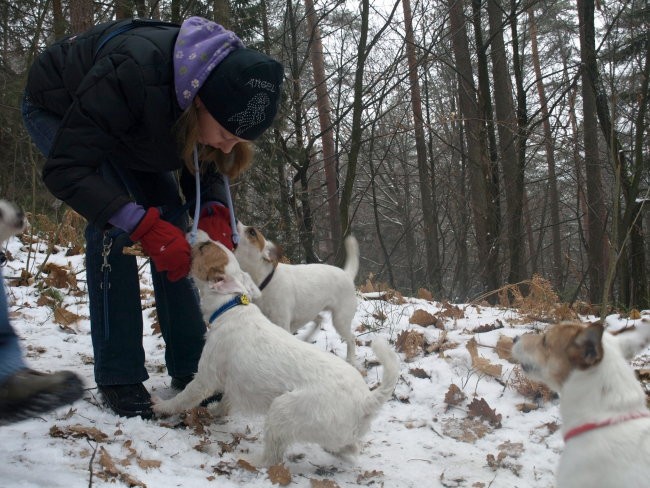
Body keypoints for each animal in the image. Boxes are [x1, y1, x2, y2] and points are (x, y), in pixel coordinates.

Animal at [233, 223, 356, 364]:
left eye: (252, 232)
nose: (235, 221)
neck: (266, 280)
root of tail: (347, 274)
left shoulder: (282, 323)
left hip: (340, 320)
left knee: (351, 339)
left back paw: (351, 360)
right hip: (309, 311)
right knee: (319, 319)